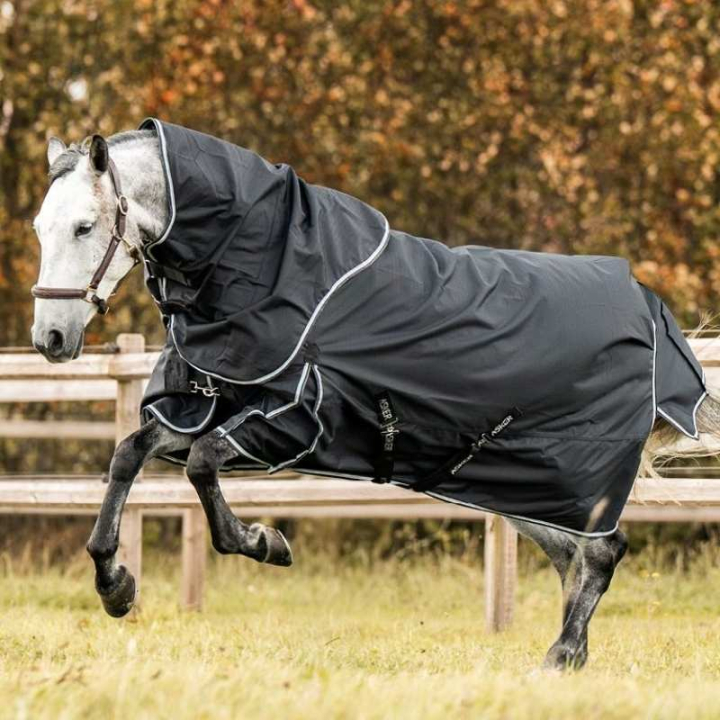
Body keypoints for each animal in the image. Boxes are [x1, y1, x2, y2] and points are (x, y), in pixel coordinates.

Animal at [30, 124, 720, 671]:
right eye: (41, 228)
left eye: (85, 227)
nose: (50, 339)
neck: (272, 267)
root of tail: (648, 308)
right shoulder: (207, 408)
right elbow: (128, 453)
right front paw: (116, 587)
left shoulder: (292, 421)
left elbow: (202, 469)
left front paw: (266, 543)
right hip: (516, 479)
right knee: (574, 555)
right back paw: (570, 654)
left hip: (565, 474)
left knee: (601, 549)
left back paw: (562, 656)